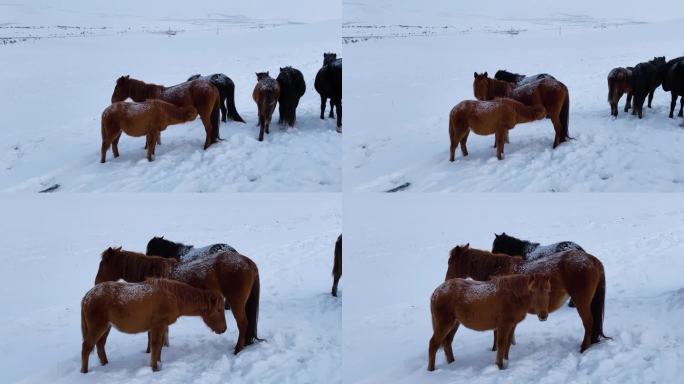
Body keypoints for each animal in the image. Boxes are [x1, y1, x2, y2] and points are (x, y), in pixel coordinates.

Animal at [80, 278, 224, 374]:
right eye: (218, 310)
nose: (224, 329)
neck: (174, 296)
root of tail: (87, 296)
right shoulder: (158, 325)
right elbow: (155, 346)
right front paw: (155, 368)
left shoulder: (161, 326)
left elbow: (159, 346)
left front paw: (158, 363)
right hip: (98, 327)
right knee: (87, 347)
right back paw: (84, 371)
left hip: (106, 327)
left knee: (100, 346)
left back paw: (105, 364)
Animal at [97, 249, 264, 354]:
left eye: (102, 264)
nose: (96, 282)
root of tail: (247, 261)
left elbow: (151, 336)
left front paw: (149, 352)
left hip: (236, 302)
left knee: (243, 324)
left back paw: (237, 350)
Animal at [446, 244, 612, 352]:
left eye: (450, 262)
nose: (447, 280)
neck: (497, 271)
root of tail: (592, 260)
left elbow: (496, 333)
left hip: (581, 300)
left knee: (588, 323)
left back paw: (583, 348)